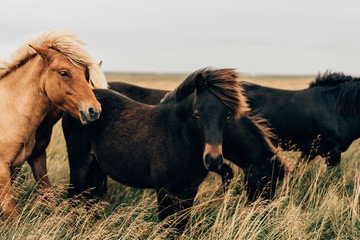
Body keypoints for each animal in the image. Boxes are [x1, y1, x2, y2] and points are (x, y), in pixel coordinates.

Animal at [0, 30, 105, 219]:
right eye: (63, 72)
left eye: (85, 74)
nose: (94, 110)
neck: (10, 109)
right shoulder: (3, 169)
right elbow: (12, 214)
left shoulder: (34, 158)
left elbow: (49, 198)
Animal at [62, 68, 248, 232]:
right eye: (197, 114)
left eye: (227, 115)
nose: (213, 160)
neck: (180, 138)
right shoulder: (164, 190)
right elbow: (166, 227)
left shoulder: (189, 191)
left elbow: (180, 227)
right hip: (79, 164)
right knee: (74, 198)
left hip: (95, 167)